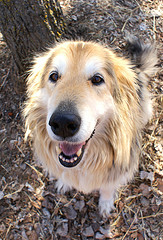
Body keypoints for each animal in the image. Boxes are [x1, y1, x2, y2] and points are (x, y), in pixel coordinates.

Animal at [23, 37, 157, 216]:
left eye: (97, 79)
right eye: (54, 76)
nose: (63, 123)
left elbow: (107, 188)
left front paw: (105, 203)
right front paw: (64, 182)